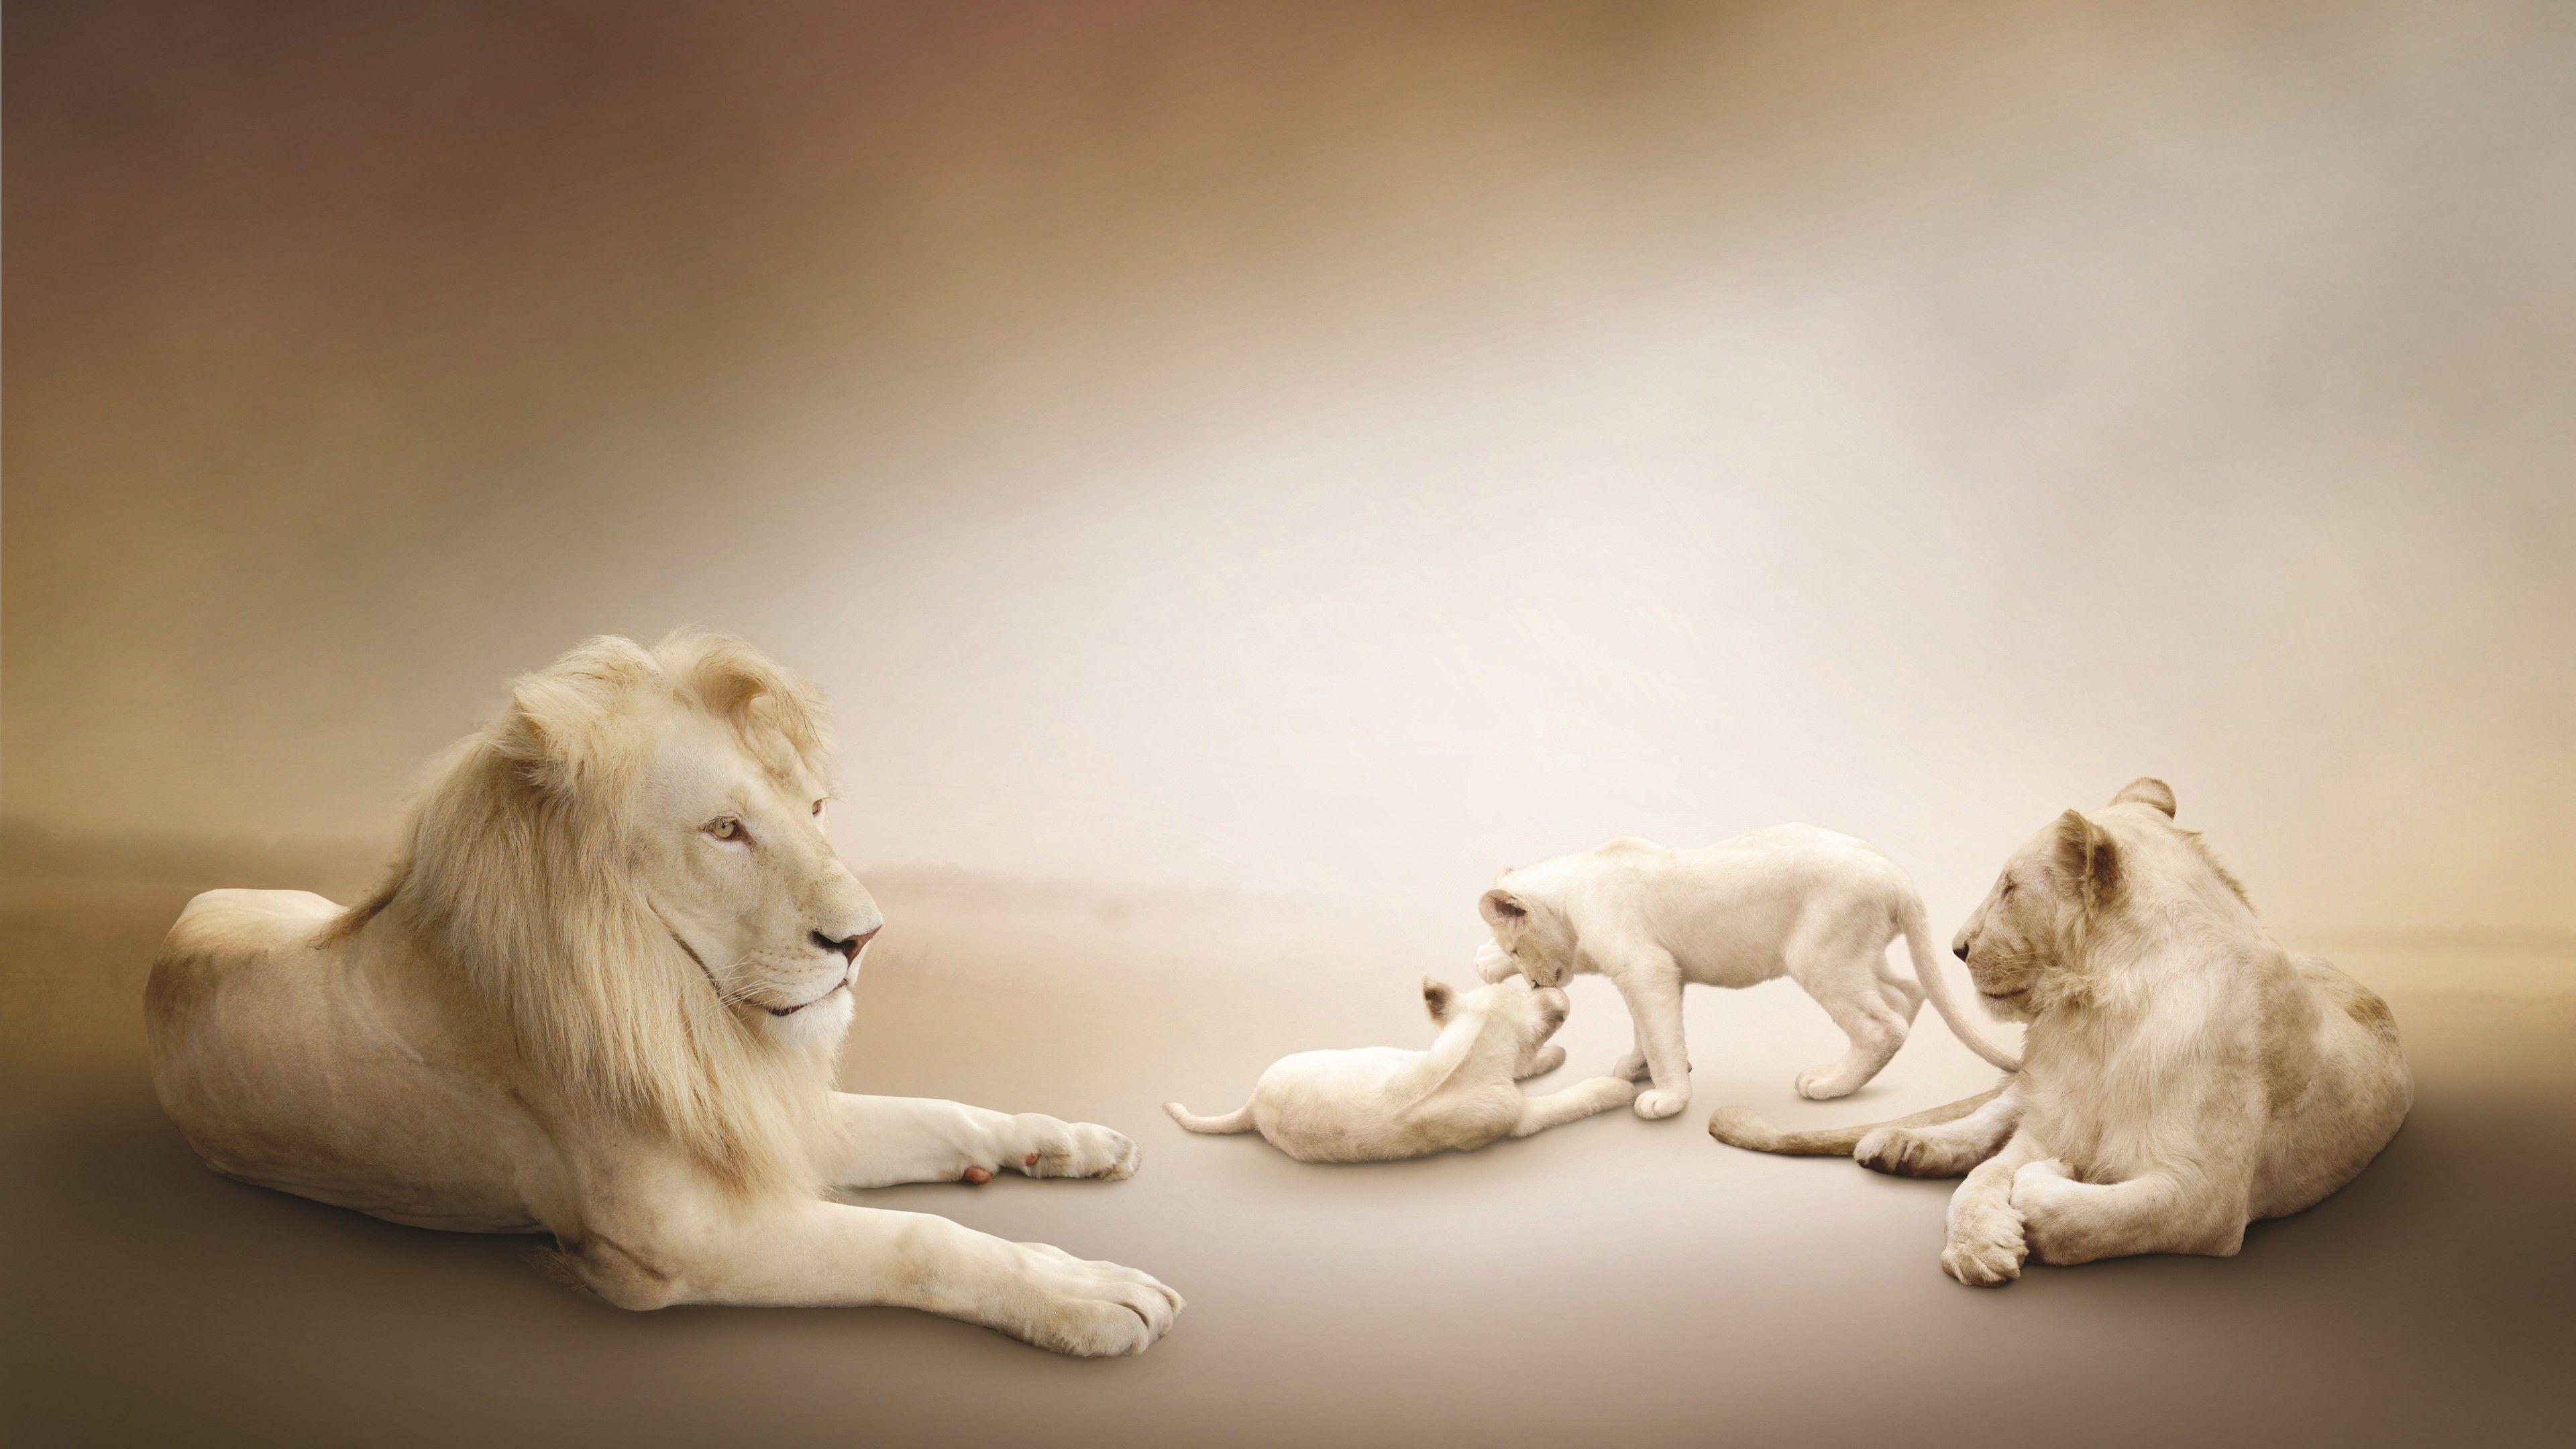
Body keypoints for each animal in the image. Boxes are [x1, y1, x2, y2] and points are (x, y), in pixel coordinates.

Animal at [144, 633, 1182, 1355]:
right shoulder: (679, 1240)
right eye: (724, 830)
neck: (689, 1013)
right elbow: (917, 1240)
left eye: (813, 810)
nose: (865, 939)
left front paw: (1066, 1142)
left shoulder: (755, 1114)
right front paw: (1087, 1294)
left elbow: (937, 1112)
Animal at [1163, 976, 1637, 1162]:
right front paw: (1618, 1088)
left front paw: (1553, 1056)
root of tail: (1253, 1106)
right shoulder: (1516, 1117)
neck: (1468, 1047)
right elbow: (1571, 1100)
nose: (1549, 986)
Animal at [1473, 826, 2022, 1119]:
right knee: (1906, 993)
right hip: (1858, 955)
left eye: (1517, 948)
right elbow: (1648, 1029)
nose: (1536, 984)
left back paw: (1830, 1084)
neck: (1572, 896)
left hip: (1818, 957)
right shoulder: (1654, 973)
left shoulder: (1645, 967)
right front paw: (1637, 1066)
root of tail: (1898, 875)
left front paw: (1667, 1098)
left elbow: (1658, 1033)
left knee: (1882, 1025)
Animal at [1707, 779, 2413, 1286]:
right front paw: (1979, 1247)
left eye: (2010, 888)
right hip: (2027, 1089)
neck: (2098, 1019)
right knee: (1987, 1121)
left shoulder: (2206, 1197)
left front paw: (2046, 1190)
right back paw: (1900, 1144)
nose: (1958, 947)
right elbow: (1980, 1179)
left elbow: (2091, 1213)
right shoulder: (2053, 1115)